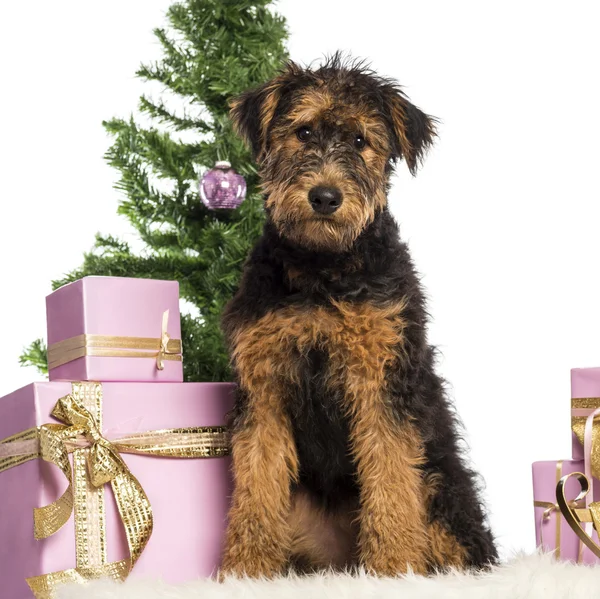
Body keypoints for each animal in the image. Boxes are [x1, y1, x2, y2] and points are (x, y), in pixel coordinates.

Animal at [220, 55, 496, 576]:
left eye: (360, 141)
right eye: (304, 131)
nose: (325, 197)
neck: (322, 268)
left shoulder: (380, 384)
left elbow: (390, 481)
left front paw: (392, 570)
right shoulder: (265, 388)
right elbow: (257, 488)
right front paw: (246, 571)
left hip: (440, 490)